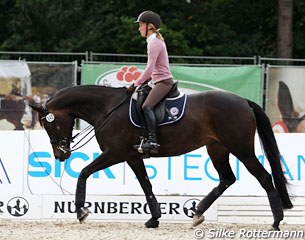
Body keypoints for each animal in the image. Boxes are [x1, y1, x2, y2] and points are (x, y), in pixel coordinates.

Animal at [30, 85, 292, 230]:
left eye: (50, 126)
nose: (60, 154)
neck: (107, 108)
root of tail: (244, 101)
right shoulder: (131, 156)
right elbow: (145, 184)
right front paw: (154, 219)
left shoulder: (114, 153)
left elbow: (84, 173)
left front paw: (81, 212)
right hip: (217, 148)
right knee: (227, 179)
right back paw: (198, 213)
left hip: (241, 149)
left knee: (264, 177)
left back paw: (276, 221)